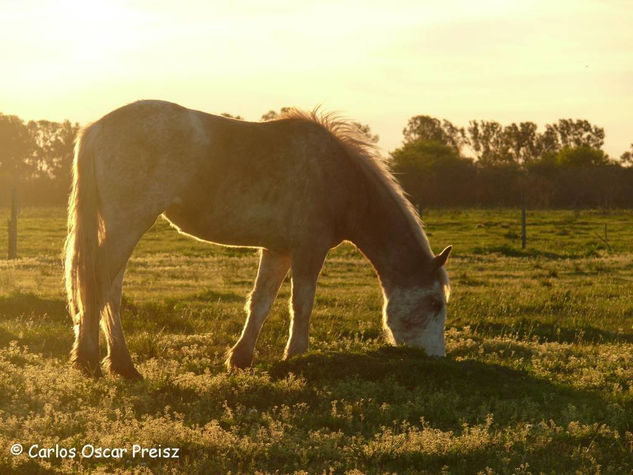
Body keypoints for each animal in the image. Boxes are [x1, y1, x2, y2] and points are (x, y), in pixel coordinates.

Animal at [63, 99, 450, 380]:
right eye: (435, 304)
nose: (437, 359)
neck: (337, 177)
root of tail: (97, 127)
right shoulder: (309, 250)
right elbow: (302, 304)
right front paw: (296, 357)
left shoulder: (278, 251)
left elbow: (261, 302)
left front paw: (241, 358)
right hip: (127, 224)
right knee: (97, 284)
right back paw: (98, 362)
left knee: (108, 289)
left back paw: (113, 364)